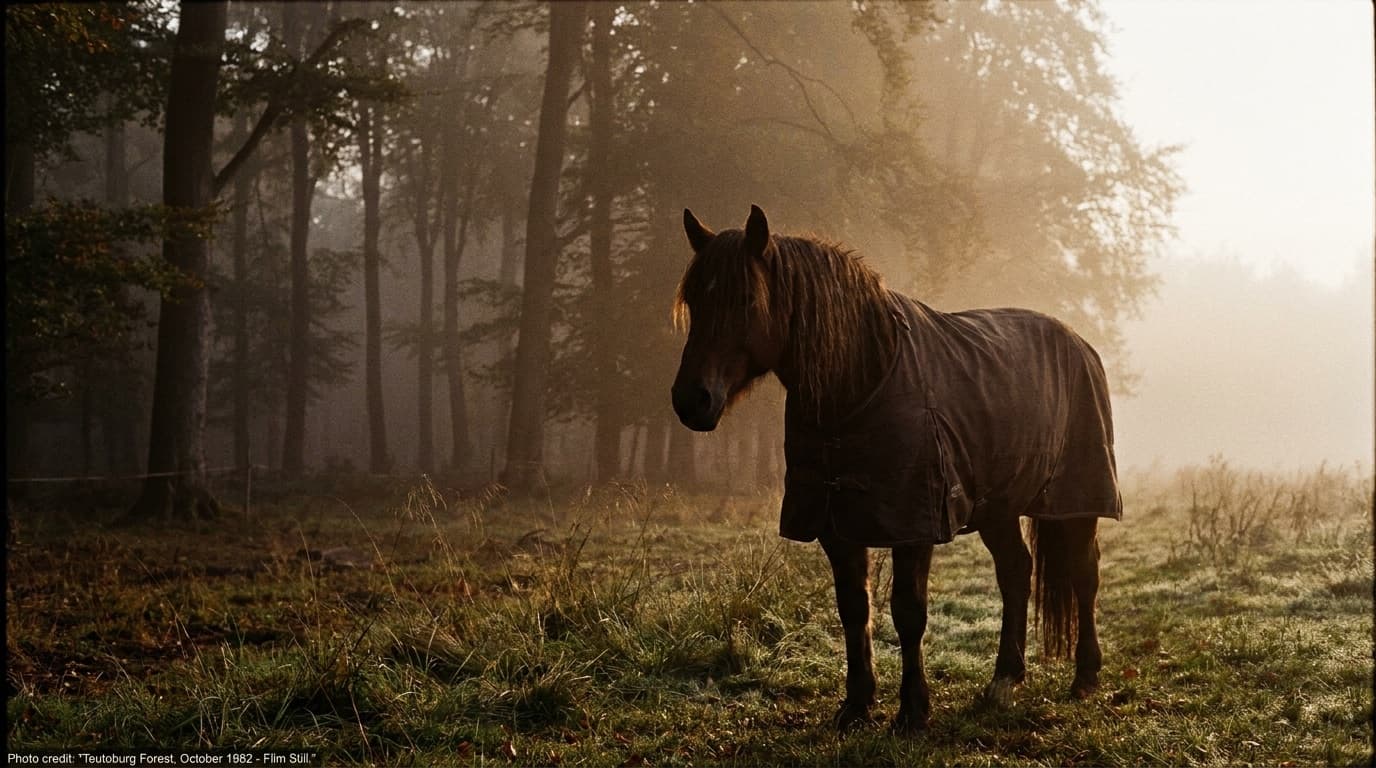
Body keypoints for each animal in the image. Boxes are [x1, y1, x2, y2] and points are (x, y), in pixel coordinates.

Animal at [670, 205, 1122, 734]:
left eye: (745, 299)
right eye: (694, 299)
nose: (691, 400)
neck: (861, 382)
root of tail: (1079, 343)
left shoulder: (915, 523)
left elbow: (908, 612)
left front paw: (912, 711)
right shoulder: (836, 523)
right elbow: (853, 607)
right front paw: (856, 704)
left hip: (1079, 498)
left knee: (1084, 575)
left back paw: (1085, 677)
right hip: (999, 507)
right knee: (1016, 572)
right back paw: (1004, 681)